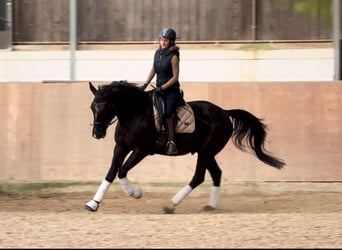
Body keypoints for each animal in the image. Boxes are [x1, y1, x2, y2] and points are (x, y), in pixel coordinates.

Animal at [85, 80, 286, 213]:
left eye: (106, 106)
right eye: (92, 107)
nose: (97, 133)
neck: (135, 113)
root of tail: (224, 112)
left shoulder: (142, 150)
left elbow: (122, 171)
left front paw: (135, 193)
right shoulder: (120, 147)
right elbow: (111, 172)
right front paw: (93, 203)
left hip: (206, 151)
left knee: (198, 177)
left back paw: (171, 205)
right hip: (206, 152)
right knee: (216, 174)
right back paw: (210, 205)